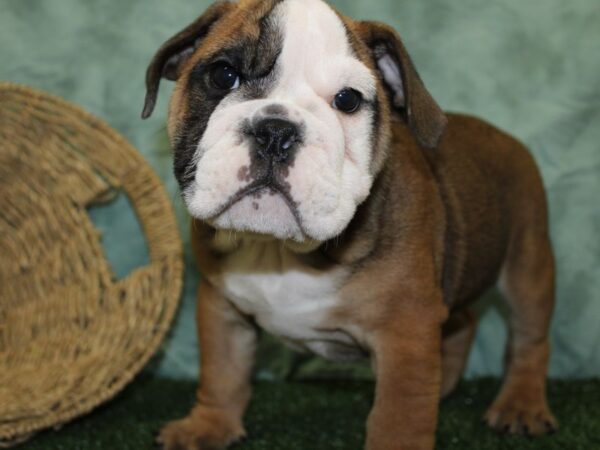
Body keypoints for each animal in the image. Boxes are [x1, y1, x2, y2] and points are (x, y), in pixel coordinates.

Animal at [143, 1, 556, 448]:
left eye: (347, 100)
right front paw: (208, 427)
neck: (279, 251)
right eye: (223, 74)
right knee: (463, 320)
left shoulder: (408, 334)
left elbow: (399, 417)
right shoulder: (221, 306)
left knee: (530, 338)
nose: (275, 131)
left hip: (527, 266)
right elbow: (222, 371)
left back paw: (521, 404)